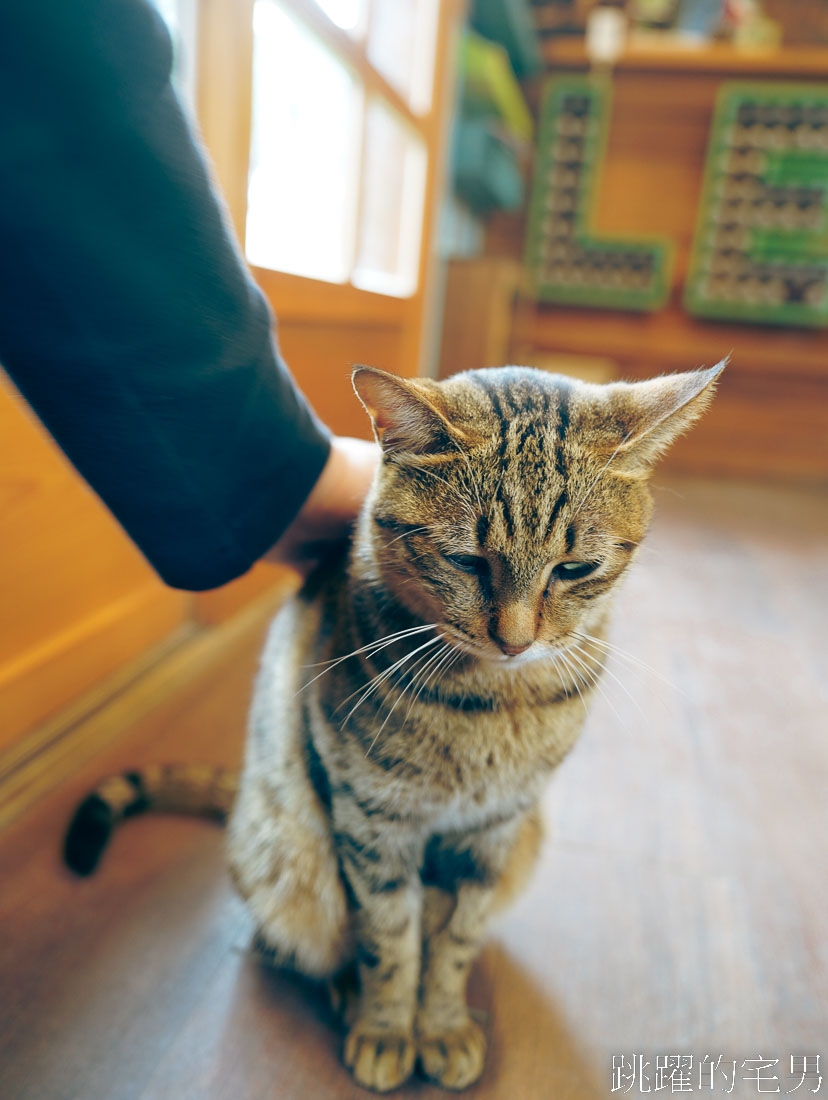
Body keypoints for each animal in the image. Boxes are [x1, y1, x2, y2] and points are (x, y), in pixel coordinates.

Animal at [66, 360, 721, 1091]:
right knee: (296, 937)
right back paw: (346, 989)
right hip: (286, 852)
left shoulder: (496, 828)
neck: (493, 704)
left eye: (575, 569)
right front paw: (386, 1027)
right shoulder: (371, 818)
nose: (516, 641)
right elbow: (388, 938)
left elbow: (455, 940)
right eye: (468, 561)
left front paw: (440, 1023)